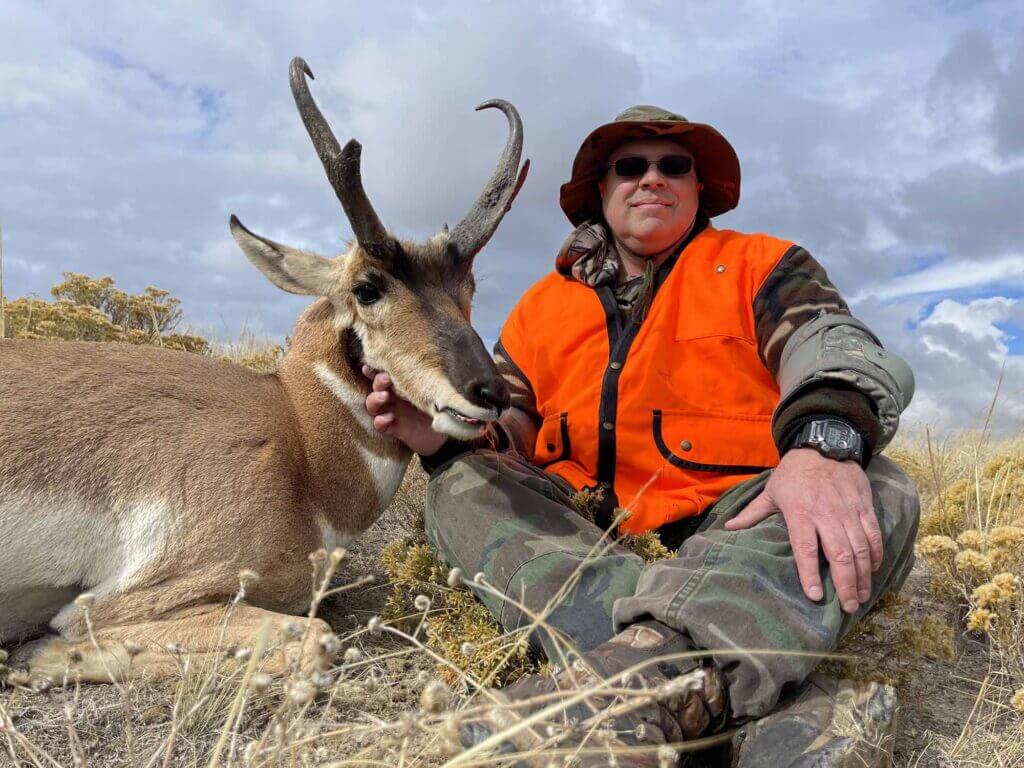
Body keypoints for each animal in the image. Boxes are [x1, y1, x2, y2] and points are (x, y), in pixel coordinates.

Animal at [0, 57, 527, 682]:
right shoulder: (134, 597)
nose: (491, 391)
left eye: (468, 289)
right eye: (366, 288)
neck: (297, 431)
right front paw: (37, 656)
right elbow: (316, 636)